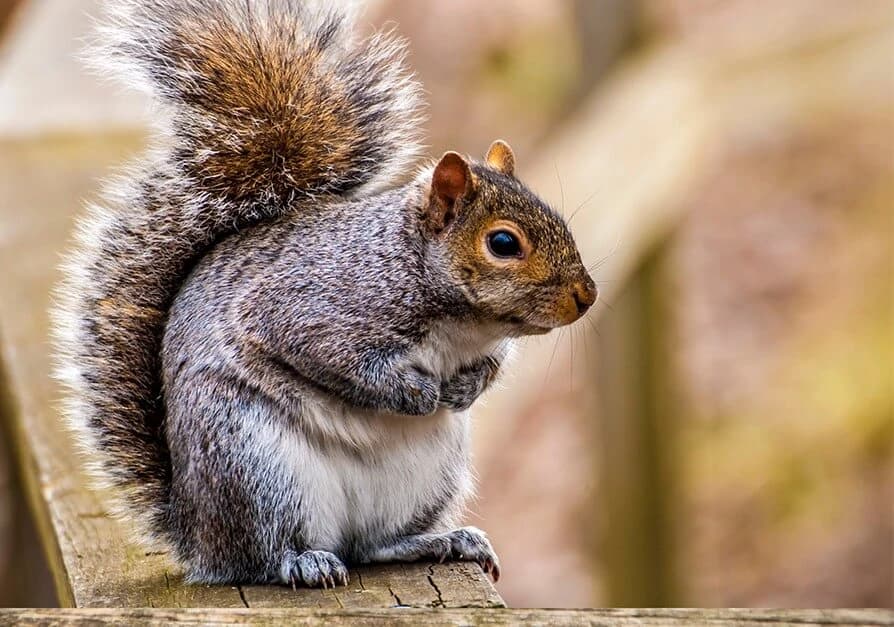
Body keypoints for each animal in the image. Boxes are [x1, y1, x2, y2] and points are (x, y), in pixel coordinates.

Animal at [53, 0, 597, 588]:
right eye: (502, 243)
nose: (586, 295)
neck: (460, 322)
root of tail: (198, 535)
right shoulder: (311, 309)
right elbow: (339, 361)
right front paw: (416, 394)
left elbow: (492, 366)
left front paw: (464, 389)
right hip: (254, 464)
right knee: (263, 556)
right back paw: (303, 560)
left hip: (426, 477)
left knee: (373, 545)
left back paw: (443, 541)